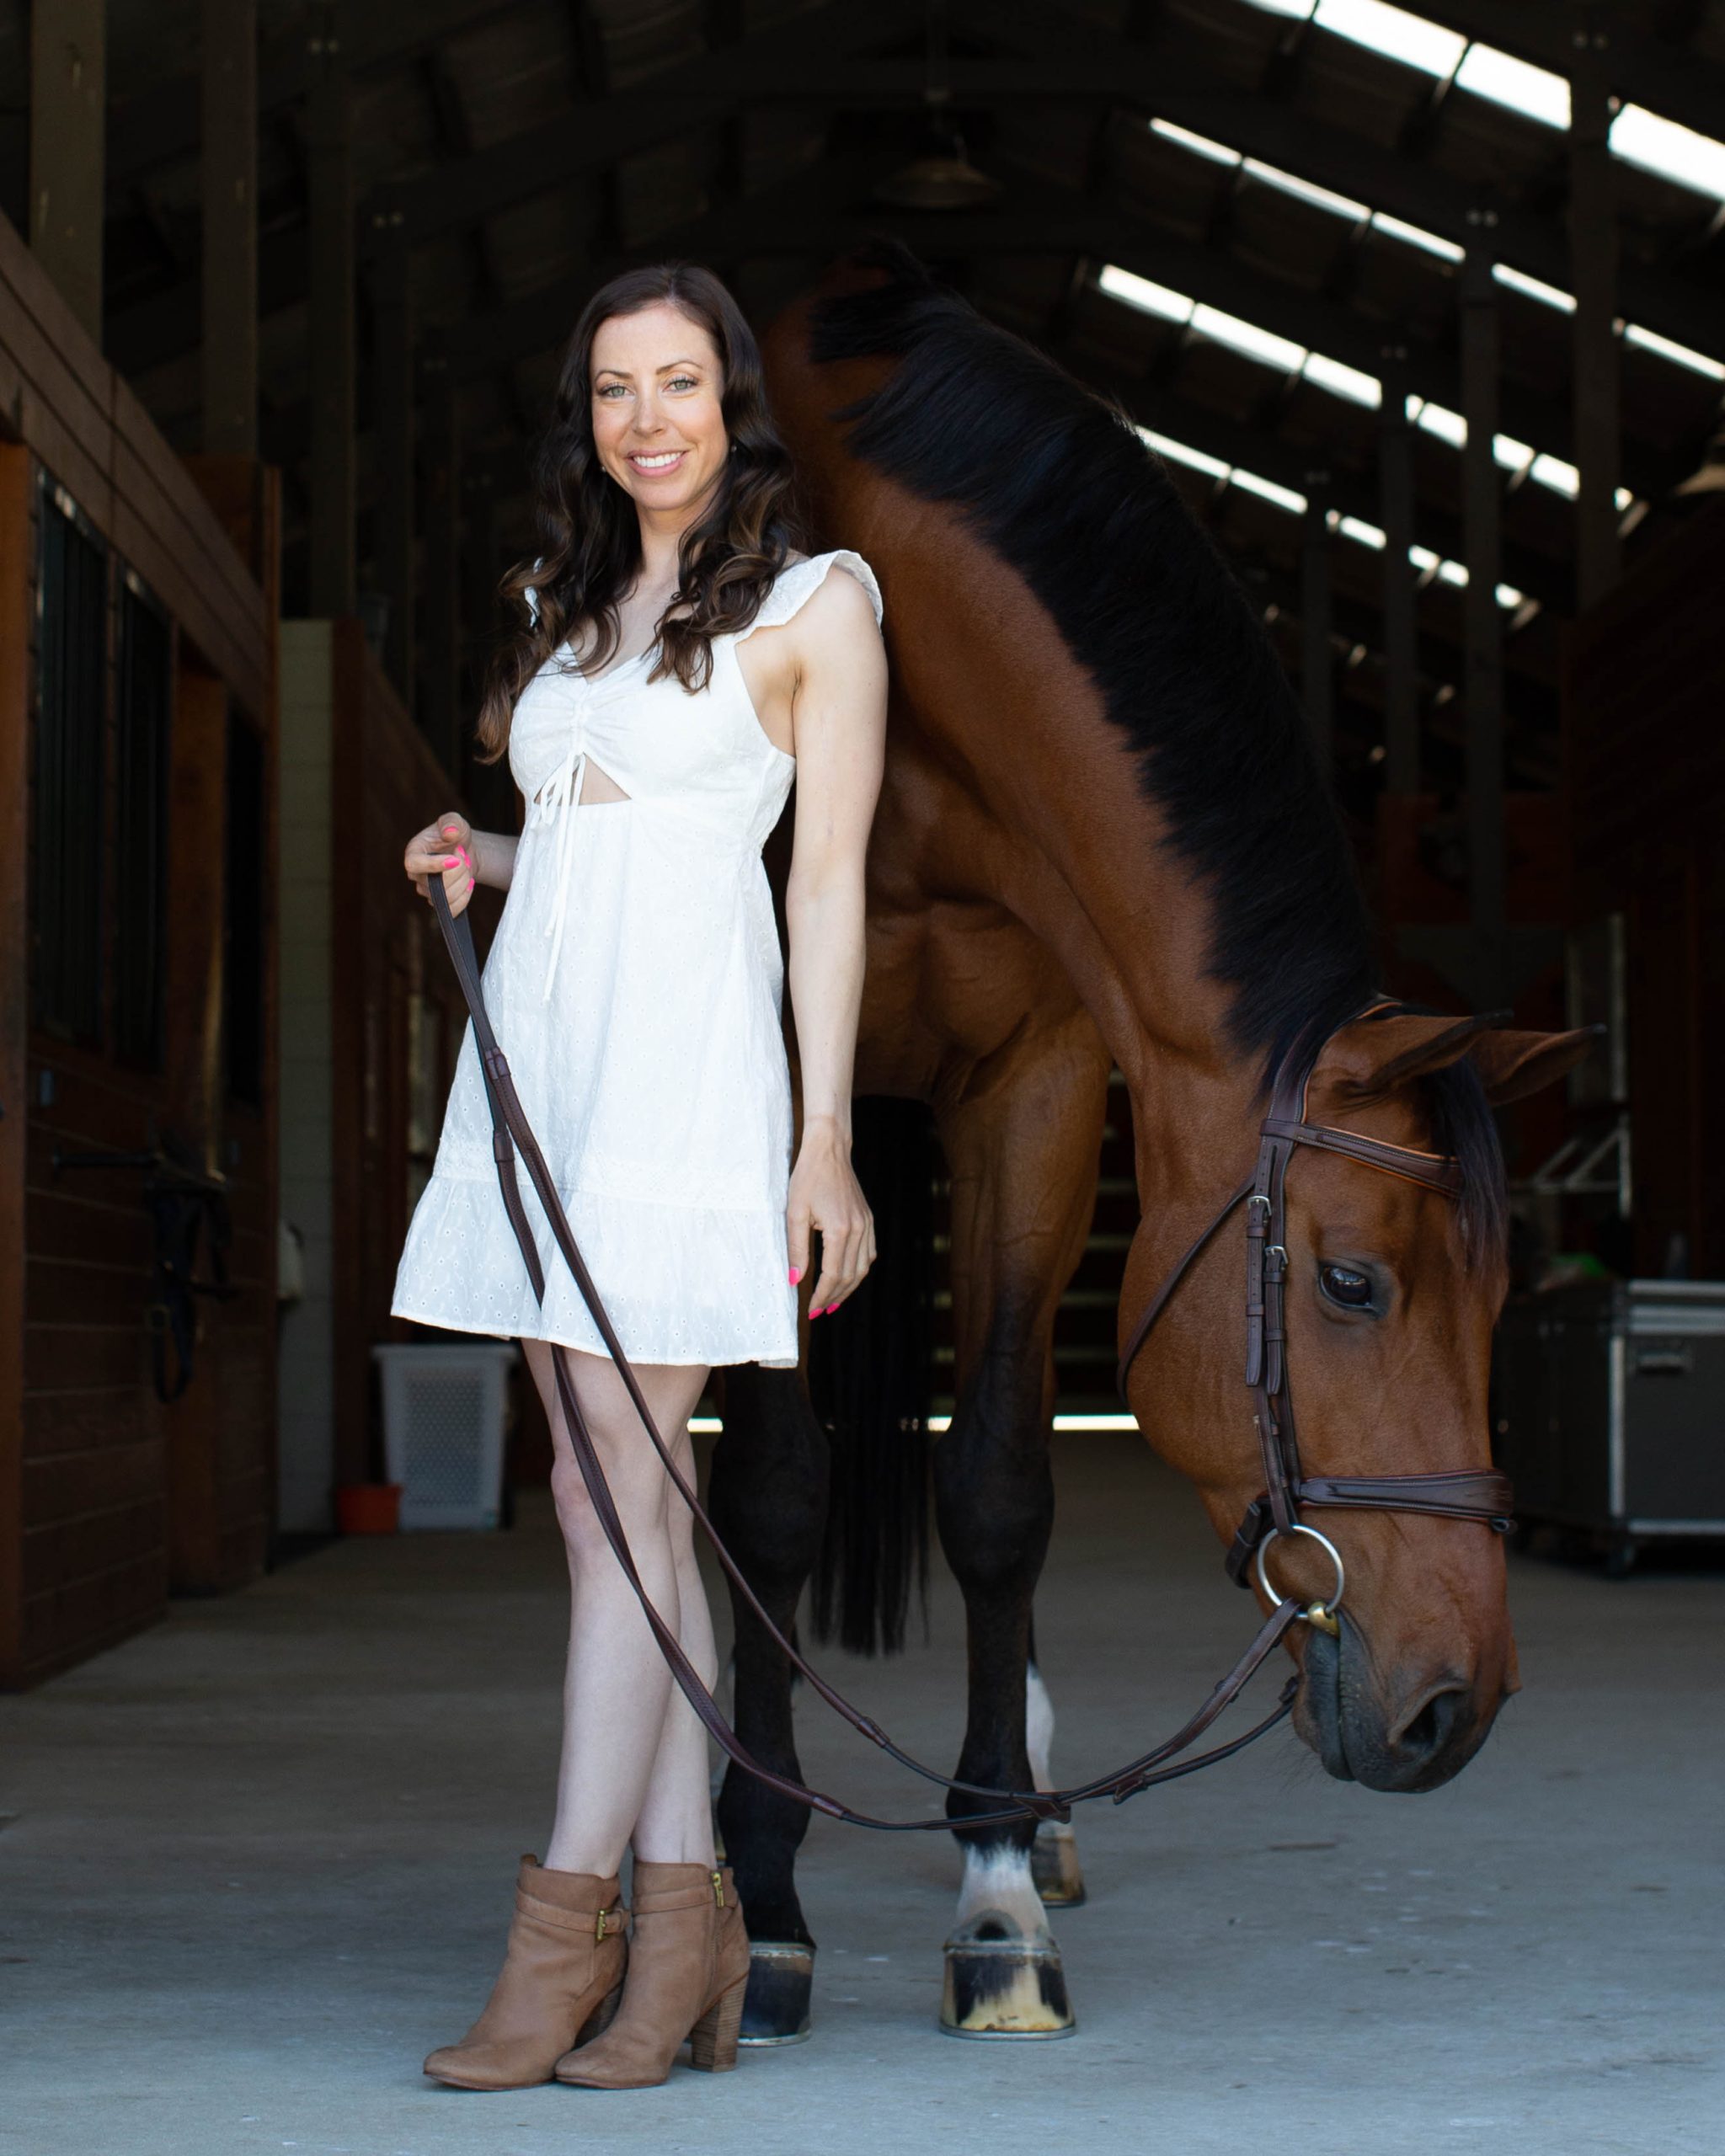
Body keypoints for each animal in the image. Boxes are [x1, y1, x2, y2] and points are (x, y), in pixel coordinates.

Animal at [702, 252, 1587, 2035]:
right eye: (1347, 1284)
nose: (1459, 1706)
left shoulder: (1035, 1081)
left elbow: (996, 1486)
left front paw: (993, 1888)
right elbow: (768, 1490)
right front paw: (760, 1906)